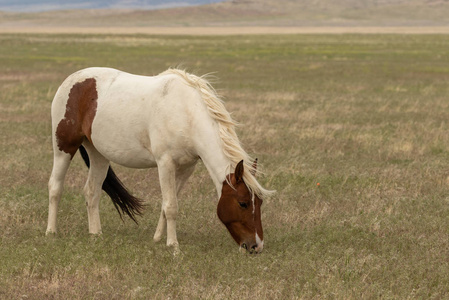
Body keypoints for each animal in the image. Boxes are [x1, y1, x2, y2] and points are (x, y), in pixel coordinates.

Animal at [46, 67, 272, 253]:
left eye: (259, 202)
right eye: (243, 203)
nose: (256, 245)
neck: (186, 112)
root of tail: (72, 80)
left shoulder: (186, 167)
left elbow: (168, 204)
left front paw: (157, 239)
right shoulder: (165, 164)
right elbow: (171, 206)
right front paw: (173, 245)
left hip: (98, 154)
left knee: (91, 192)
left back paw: (95, 235)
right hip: (64, 147)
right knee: (55, 187)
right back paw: (51, 232)